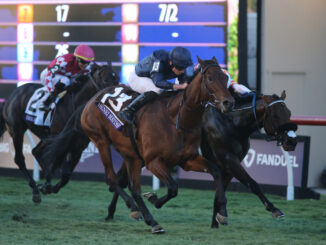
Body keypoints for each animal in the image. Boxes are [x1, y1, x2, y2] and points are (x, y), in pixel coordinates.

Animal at [0, 61, 119, 203]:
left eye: (117, 79)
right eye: (106, 80)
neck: (76, 105)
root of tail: (12, 96)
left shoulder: (78, 146)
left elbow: (66, 176)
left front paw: (49, 187)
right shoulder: (61, 140)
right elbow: (64, 171)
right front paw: (46, 186)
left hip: (45, 137)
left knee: (37, 152)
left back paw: (45, 182)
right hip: (16, 130)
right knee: (20, 158)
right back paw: (35, 190)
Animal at [81, 56, 234, 233]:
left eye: (225, 78)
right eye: (210, 78)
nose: (229, 102)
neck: (177, 120)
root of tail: (93, 98)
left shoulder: (187, 160)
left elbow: (216, 171)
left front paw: (222, 212)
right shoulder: (153, 161)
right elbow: (173, 187)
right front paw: (154, 199)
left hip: (132, 156)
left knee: (133, 188)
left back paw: (149, 219)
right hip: (101, 141)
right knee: (112, 179)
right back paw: (136, 209)